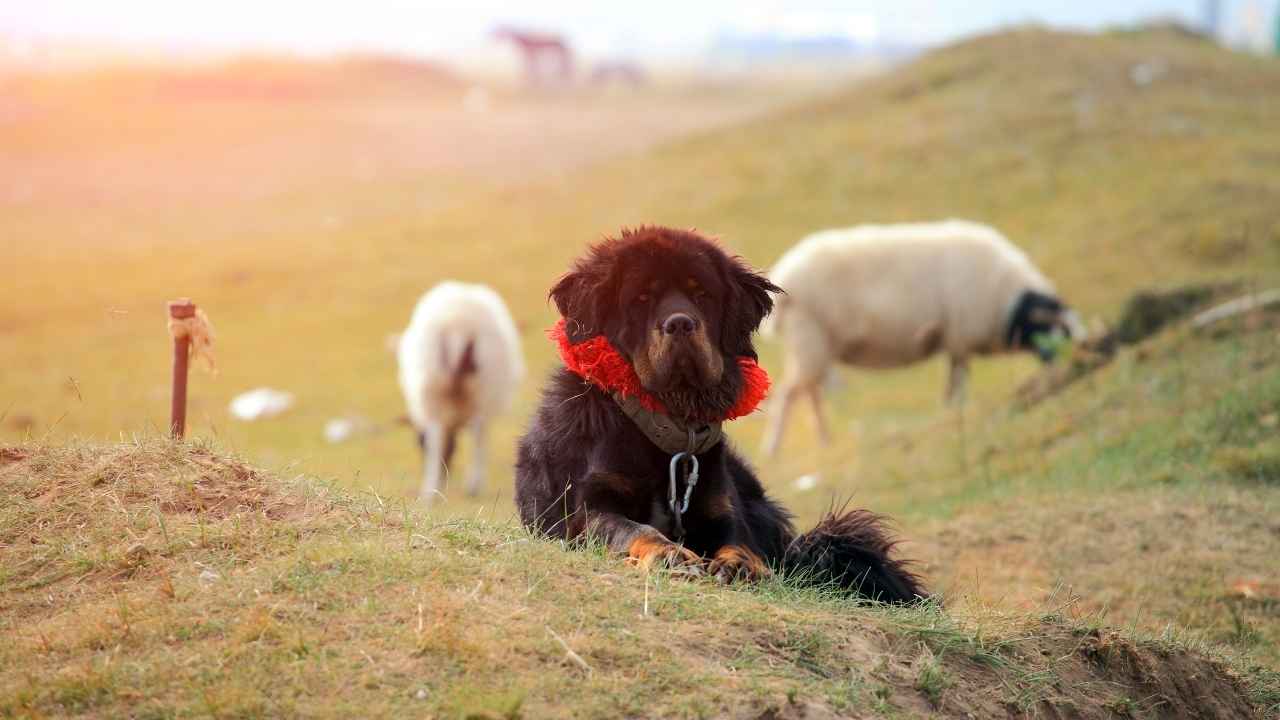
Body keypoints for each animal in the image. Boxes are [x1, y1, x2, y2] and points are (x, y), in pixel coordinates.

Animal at [394, 279, 524, 499]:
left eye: (419, 444)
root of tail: (457, 323)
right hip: (480, 386)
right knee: (475, 431)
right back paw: (471, 485)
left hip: (436, 386)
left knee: (440, 436)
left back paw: (432, 491)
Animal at [514, 226, 926, 597]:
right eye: (641, 298)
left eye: (702, 294)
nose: (681, 323)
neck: (669, 428)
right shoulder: (589, 508)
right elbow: (632, 528)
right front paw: (669, 554)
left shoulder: (722, 510)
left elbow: (741, 540)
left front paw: (740, 564)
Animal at [757, 217, 1080, 453]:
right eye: (1056, 332)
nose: (1064, 367)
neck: (1005, 299)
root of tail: (786, 273)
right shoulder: (959, 336)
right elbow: (959, 382)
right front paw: (955, 409)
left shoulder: (955, 342)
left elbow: (954, 381)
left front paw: (950, 409)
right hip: (810, 337)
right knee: (790, 393)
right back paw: (774, 448)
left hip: (811, 344)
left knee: (808, 391)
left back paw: (824, 439)